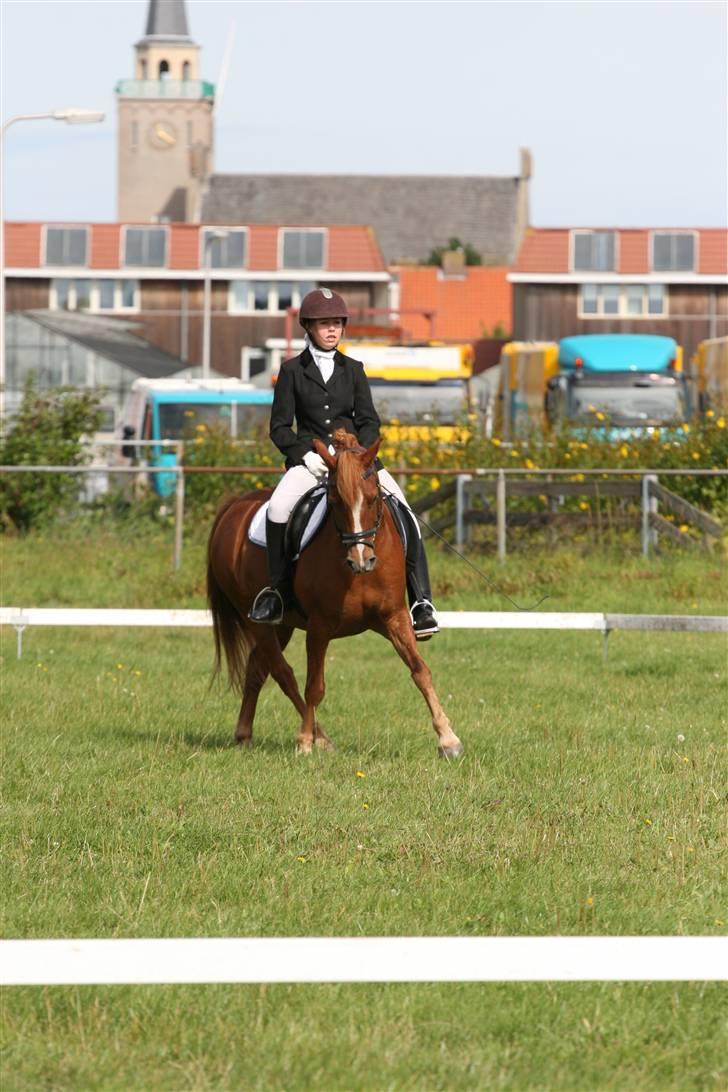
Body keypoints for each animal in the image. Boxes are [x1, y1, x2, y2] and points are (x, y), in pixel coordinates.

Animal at [207, 428, 464, 760]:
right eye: (335, 501)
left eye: (373, 499)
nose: (362, 561)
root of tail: (235, 505)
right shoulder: (319, 626)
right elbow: (314, 685)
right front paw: (304, 741)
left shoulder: (393, 618)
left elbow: (420, 670)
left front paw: (448, 739)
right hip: (255, 620)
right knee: (282, 672)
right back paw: (320, 737)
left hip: (283, 624)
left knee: (257, 669)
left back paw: (244, 735)